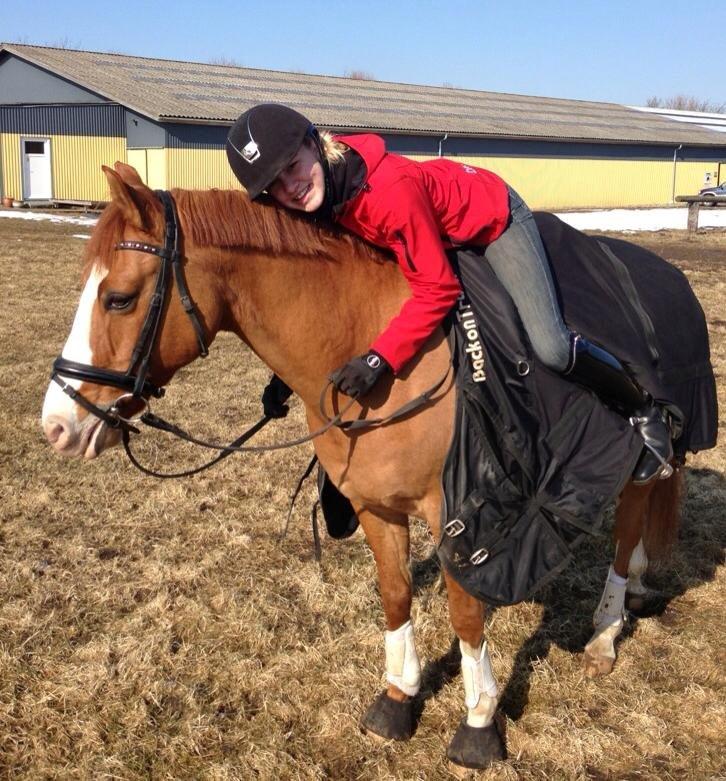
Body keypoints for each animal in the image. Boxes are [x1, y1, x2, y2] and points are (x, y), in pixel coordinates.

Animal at [41, 163, 683, 770]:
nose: (56, 425)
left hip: (628, 465)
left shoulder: (462, 510)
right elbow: (395, 595)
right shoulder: (375, 505)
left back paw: (605, 631)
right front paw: (399, 698)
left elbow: (466, 613)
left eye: (119, 298)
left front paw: (479, 722)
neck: (375, 342)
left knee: (625, 530)